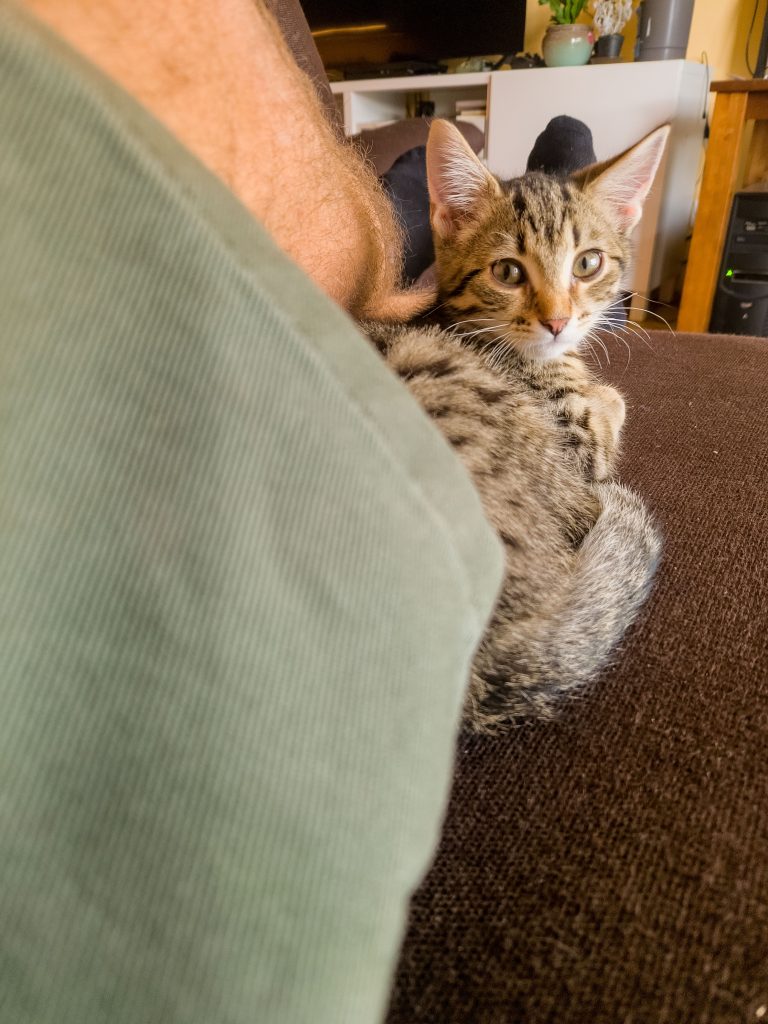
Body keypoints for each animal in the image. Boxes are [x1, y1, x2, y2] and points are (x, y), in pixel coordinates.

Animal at [366, 119, 669, 730]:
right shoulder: (575, 444)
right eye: (507, 271)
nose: (557, 321)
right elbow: (612, 405)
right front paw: (604, 393)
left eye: (587, 263)